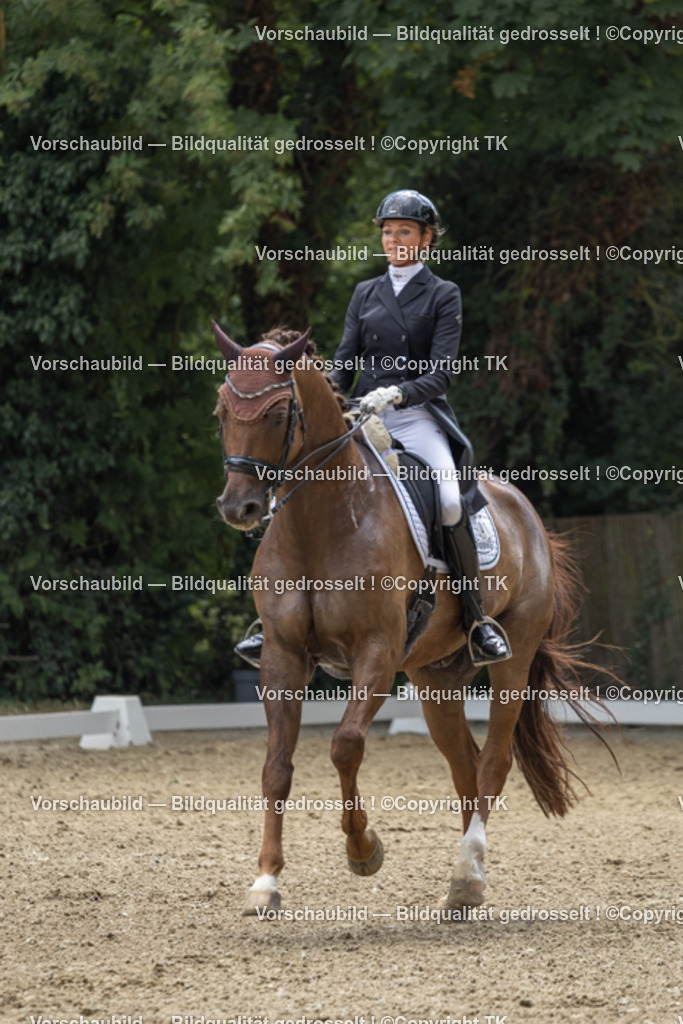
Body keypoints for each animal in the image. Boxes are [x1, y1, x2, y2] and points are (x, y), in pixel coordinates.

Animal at [212, 322, 610, 917]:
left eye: (279, 413)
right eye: (221, 411)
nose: (239, 509)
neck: (318, 523)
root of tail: (526, 512)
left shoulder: (375, 653)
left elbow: (345, 745)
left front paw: (364, 849)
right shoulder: (281, 656)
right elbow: (276, 768)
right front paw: (265, 882)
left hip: (511, 662)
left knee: (494, 761)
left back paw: (468, 873)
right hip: (435, 676)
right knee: (466, 765)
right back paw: (466, 881)